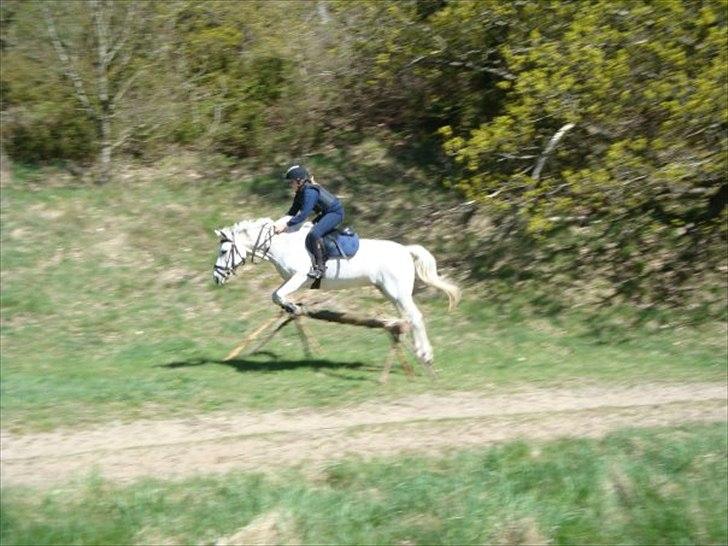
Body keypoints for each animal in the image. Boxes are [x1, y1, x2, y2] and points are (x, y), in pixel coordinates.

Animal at [212, 216, 460, 362]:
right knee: (407, 317)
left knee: (416, 316)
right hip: (391, 293)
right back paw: (416, 349)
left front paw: (292, 306)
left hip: (398, 292)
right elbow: (278, 295)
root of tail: (406, 250)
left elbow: (277, 295)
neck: (282, 244)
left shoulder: (300, 276)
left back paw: (425, 354)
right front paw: (293, 308)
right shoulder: (293, 280)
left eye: (223, 252)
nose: (216, 277)